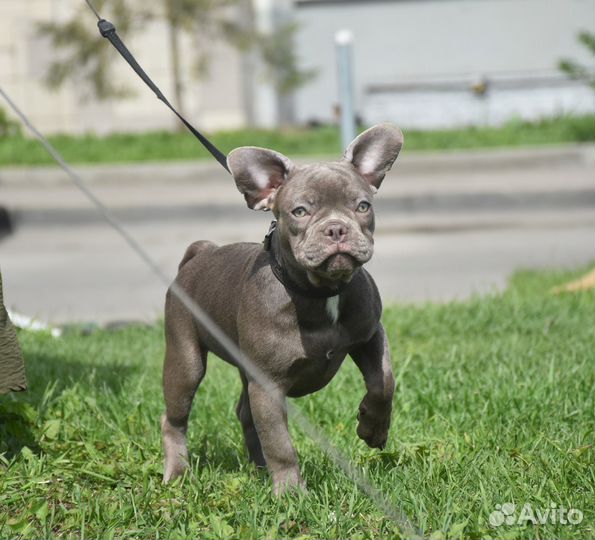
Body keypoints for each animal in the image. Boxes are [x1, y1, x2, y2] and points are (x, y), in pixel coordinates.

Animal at [163, 122, 406, 494]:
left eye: (363, 206)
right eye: (300, 212)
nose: (336, 228)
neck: (321, 292)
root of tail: (199, 255)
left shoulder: (370, 337)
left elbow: (384, 382)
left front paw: (372, 427)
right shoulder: (268, 386)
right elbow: (280, 442)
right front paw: (292, 493)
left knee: (245, 414)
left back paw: (259, 468)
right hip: (185, 360)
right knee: (175, 418)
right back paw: (177, 472)